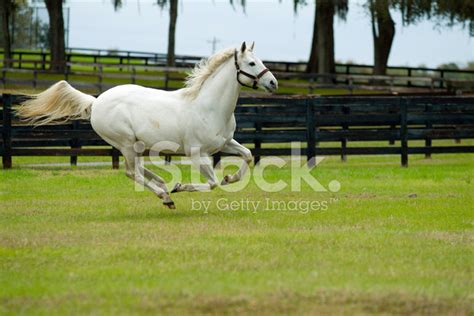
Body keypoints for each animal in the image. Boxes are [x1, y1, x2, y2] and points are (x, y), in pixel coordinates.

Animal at [18, 42, 278, 210]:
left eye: (261, 61)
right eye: (252, 63)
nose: (273, 83)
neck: (209, 106)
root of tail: (96, 101)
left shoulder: (225, 142)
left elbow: (247, 155)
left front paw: (230, 178)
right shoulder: (197, 153)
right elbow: (212, 183)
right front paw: (180, 187)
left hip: (137, 146)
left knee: (139, 170)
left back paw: (162, 185)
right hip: (125, 143)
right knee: (131, 172)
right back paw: (166, 195)